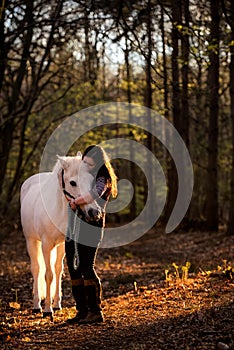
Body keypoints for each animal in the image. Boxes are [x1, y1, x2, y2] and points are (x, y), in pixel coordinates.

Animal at [19, 153, 100, 318]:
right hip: (31, 241)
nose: (94, 212)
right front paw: (47, 310)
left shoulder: (63, 244)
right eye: (73, 182)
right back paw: (37, 305)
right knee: (36, 269)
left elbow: (58, 271)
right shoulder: (46, 245)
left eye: (90, 180)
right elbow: (48, 275)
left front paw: (56, 305)